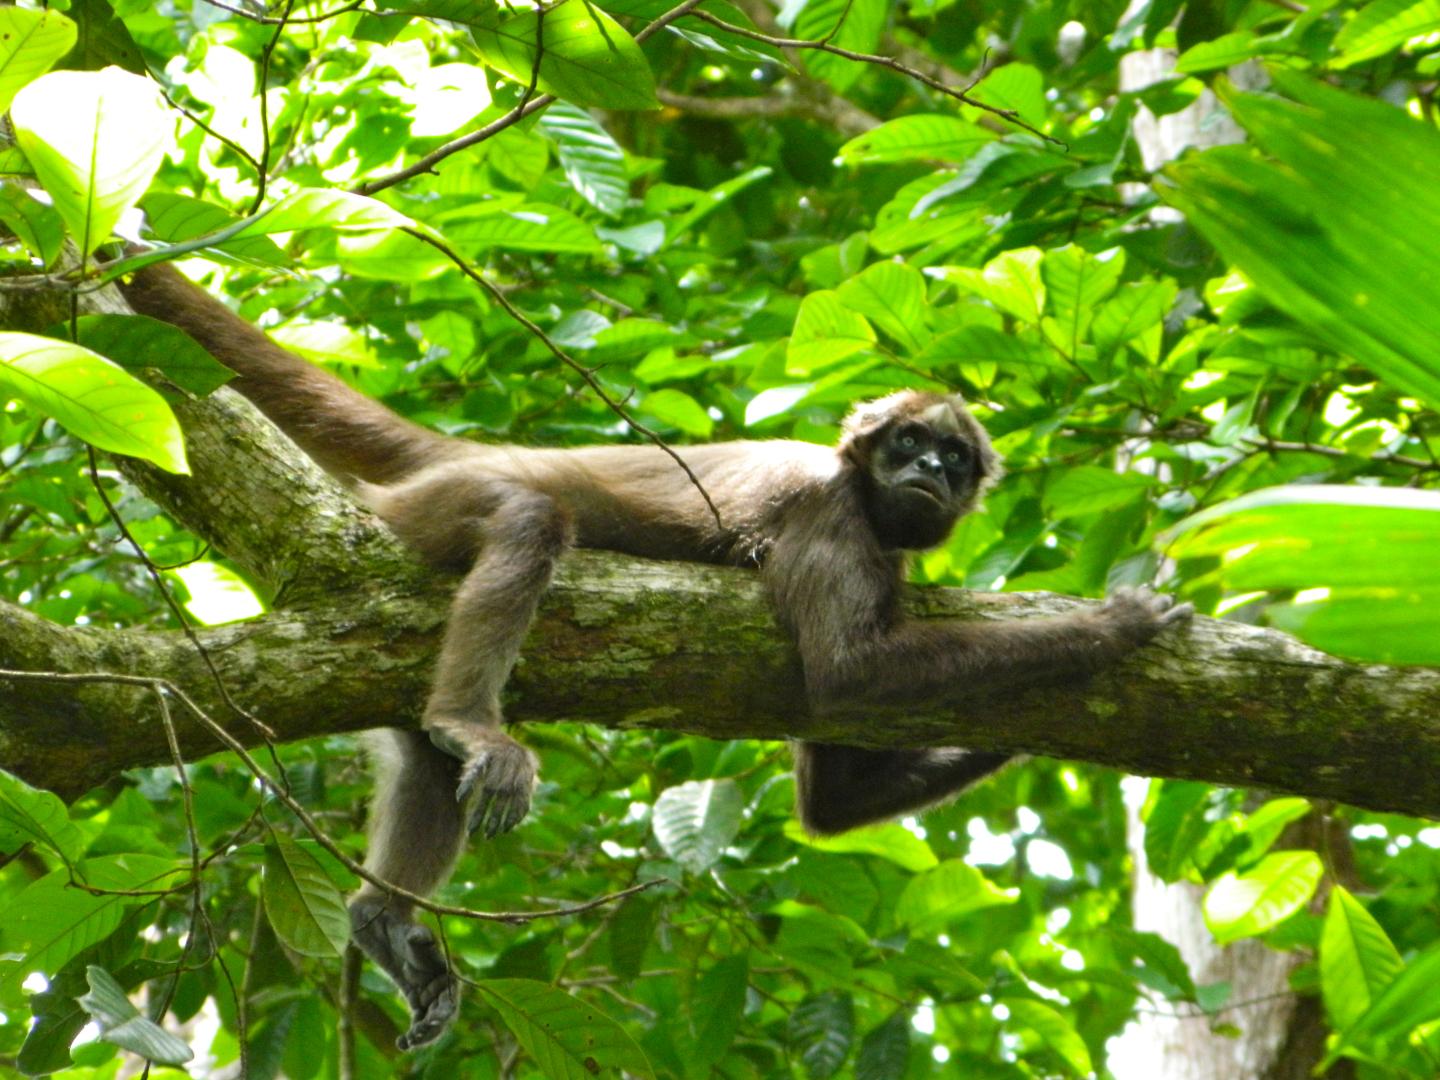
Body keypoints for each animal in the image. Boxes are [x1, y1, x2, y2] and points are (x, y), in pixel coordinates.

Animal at [118, 263, 1191, 1049]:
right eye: (906, 446)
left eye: (954, 459)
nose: (928, 469)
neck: (868, 503)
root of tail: (462, 452)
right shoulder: (831, 511)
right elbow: (846, 675)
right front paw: (1113, 630)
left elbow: (831, 800)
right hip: (438, 509)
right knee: (526, 519)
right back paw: (474, 719)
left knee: (422, 754)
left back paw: (384, 916)